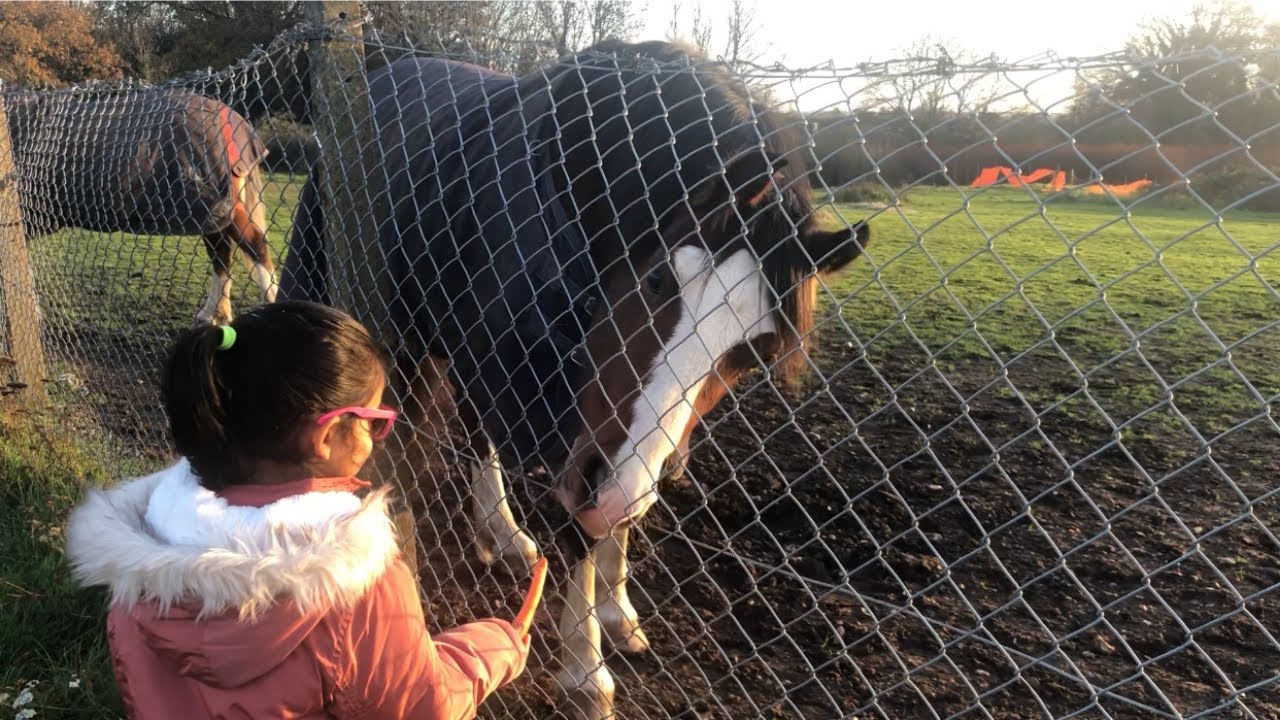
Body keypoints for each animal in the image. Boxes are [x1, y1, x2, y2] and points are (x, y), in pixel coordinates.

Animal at [5, 86, 277, 325]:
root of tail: (231, 118)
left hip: (224, 210)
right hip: (210, 215)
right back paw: (212, 315)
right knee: (222, 257)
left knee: (256, 248)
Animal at [280, 40, 870, 719]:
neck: (568, 191)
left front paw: (618, 612)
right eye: (659, 280)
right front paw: (586, 671)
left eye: (754, 352)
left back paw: (503, 536)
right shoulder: (540, 397)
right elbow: (575, 529)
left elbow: (618, 511)